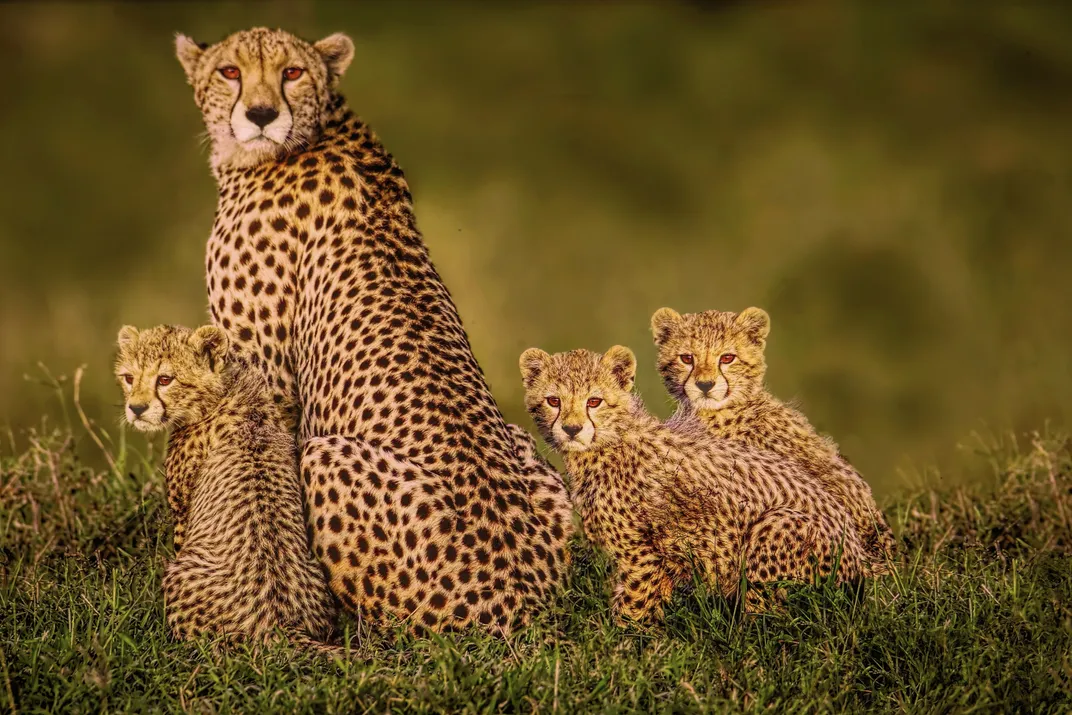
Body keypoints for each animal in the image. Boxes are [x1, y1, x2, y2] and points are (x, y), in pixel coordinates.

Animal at [114, 323, 338, 646]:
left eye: (165, 379)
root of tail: (283, 623)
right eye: (129, 378)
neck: (224, 389)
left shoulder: (182, 513)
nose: (136, 408)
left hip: (179, 576)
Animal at [174, 26, 572, 633]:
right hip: (537, 461)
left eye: (292, 73)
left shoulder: (260, 379)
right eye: (229, 72)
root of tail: (523, 603)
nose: (262, 114)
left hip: (325, 459)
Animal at [520, 345, 882, 624]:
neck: (611, 440)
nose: (571, 429)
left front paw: (624, 653)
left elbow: (633, 612)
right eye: (553, 401)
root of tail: (860, 555)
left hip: (775, 528)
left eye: (593, 401)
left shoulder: (642, 556)